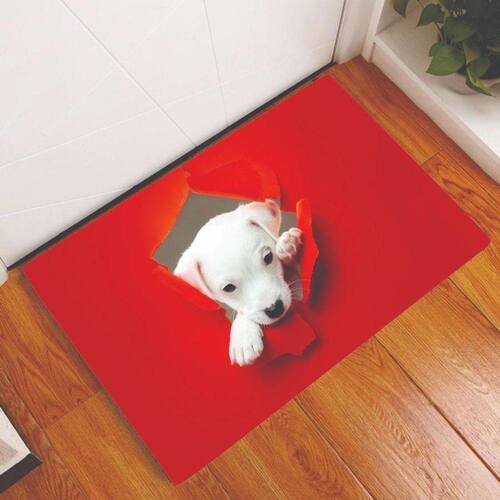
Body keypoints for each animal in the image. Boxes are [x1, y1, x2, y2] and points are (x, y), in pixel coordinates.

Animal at [174, 199, 303, 366]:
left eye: (268, 257)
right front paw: (243, 335)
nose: (275, 309)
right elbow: (243, 313)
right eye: (229, 288)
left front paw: (289, 246)